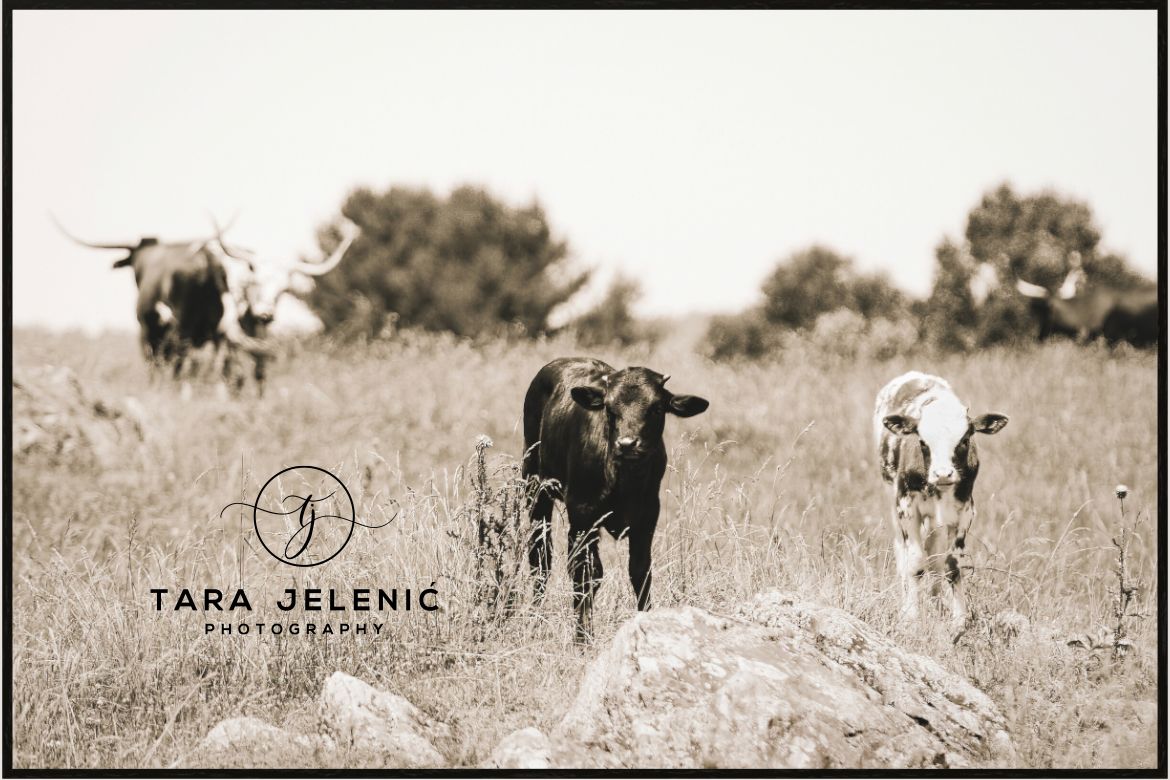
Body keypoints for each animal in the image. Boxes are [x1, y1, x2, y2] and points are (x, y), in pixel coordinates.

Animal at [522, 358, 709, 641]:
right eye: (609, 408)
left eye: (656, 408)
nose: (628, 443)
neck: (625, 481)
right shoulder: (582, 513)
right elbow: (586, 572)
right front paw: (582, 637)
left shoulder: (647, 516)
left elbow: (640, 571)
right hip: (535, 488)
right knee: (541, 557)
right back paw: (535, 618)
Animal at [874, 371, 1008, 640]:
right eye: (923, 442)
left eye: (965, 439)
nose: (943, 474)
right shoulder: (906, 505)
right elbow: (915, 563)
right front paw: (911, 618)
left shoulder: (965, 510)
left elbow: (952, 565)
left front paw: (958, 621)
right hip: (891, 498)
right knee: (902, 553)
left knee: (934, 557)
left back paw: (936, 602)